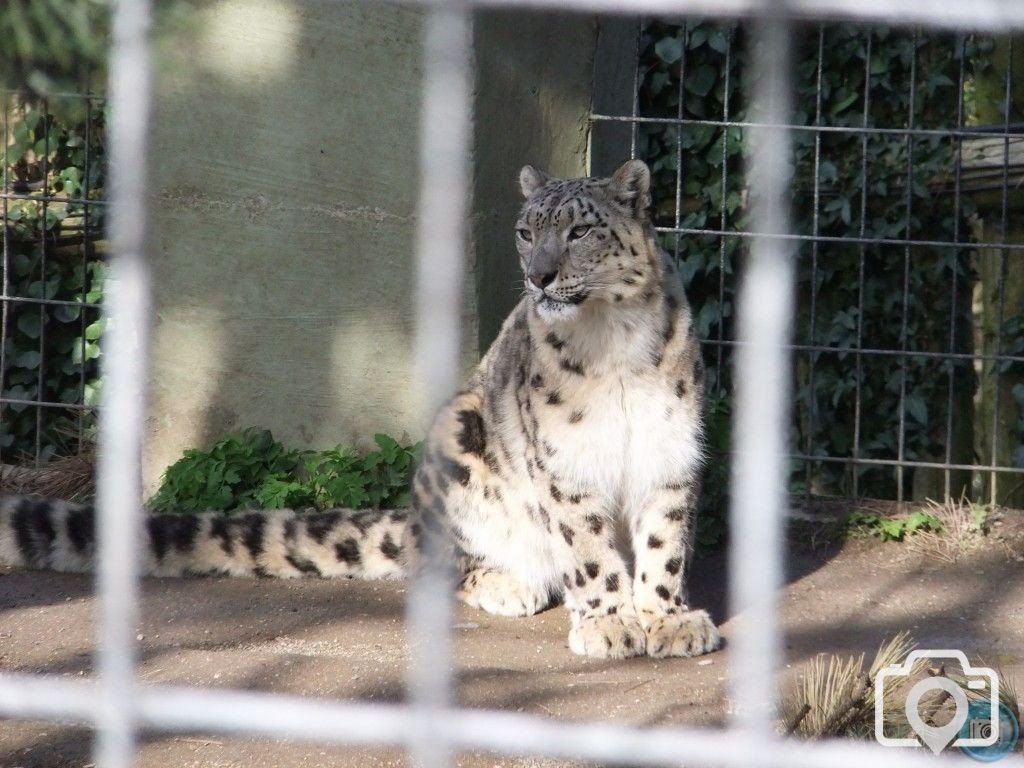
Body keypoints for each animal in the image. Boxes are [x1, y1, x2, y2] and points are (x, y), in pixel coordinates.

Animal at [0, 160, 720, 663]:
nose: (540, 276)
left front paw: (666, 619)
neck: (613, 342)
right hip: (460, 438)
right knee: (446, 563)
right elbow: (591, 549)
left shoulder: (670, 448)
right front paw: (611, 622)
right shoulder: (566, 464)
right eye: (525, 232)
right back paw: (510, 583)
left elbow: (663, 543)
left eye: (579, 229)